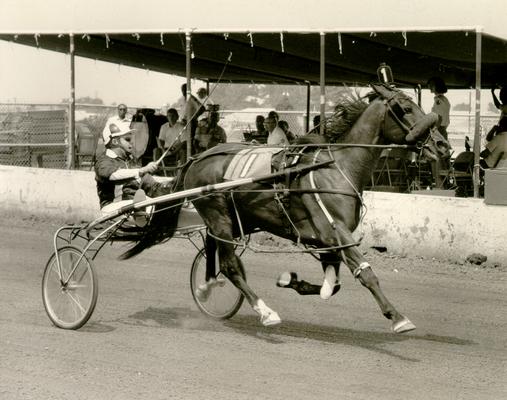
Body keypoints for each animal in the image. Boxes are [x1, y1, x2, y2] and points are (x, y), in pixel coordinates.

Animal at [123, 83, 448, 334]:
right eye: (404, 109)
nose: (442, 145)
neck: (335, 168)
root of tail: (196, 158)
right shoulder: (335, 232)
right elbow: (365, 274)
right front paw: (398, 317)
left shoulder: (326, 241)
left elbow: (332, 285)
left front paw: (291, 280)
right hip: (219, 215)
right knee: (230, 265)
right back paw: (264, 311)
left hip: (236, 218)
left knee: (213, 246)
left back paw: (206, 286)